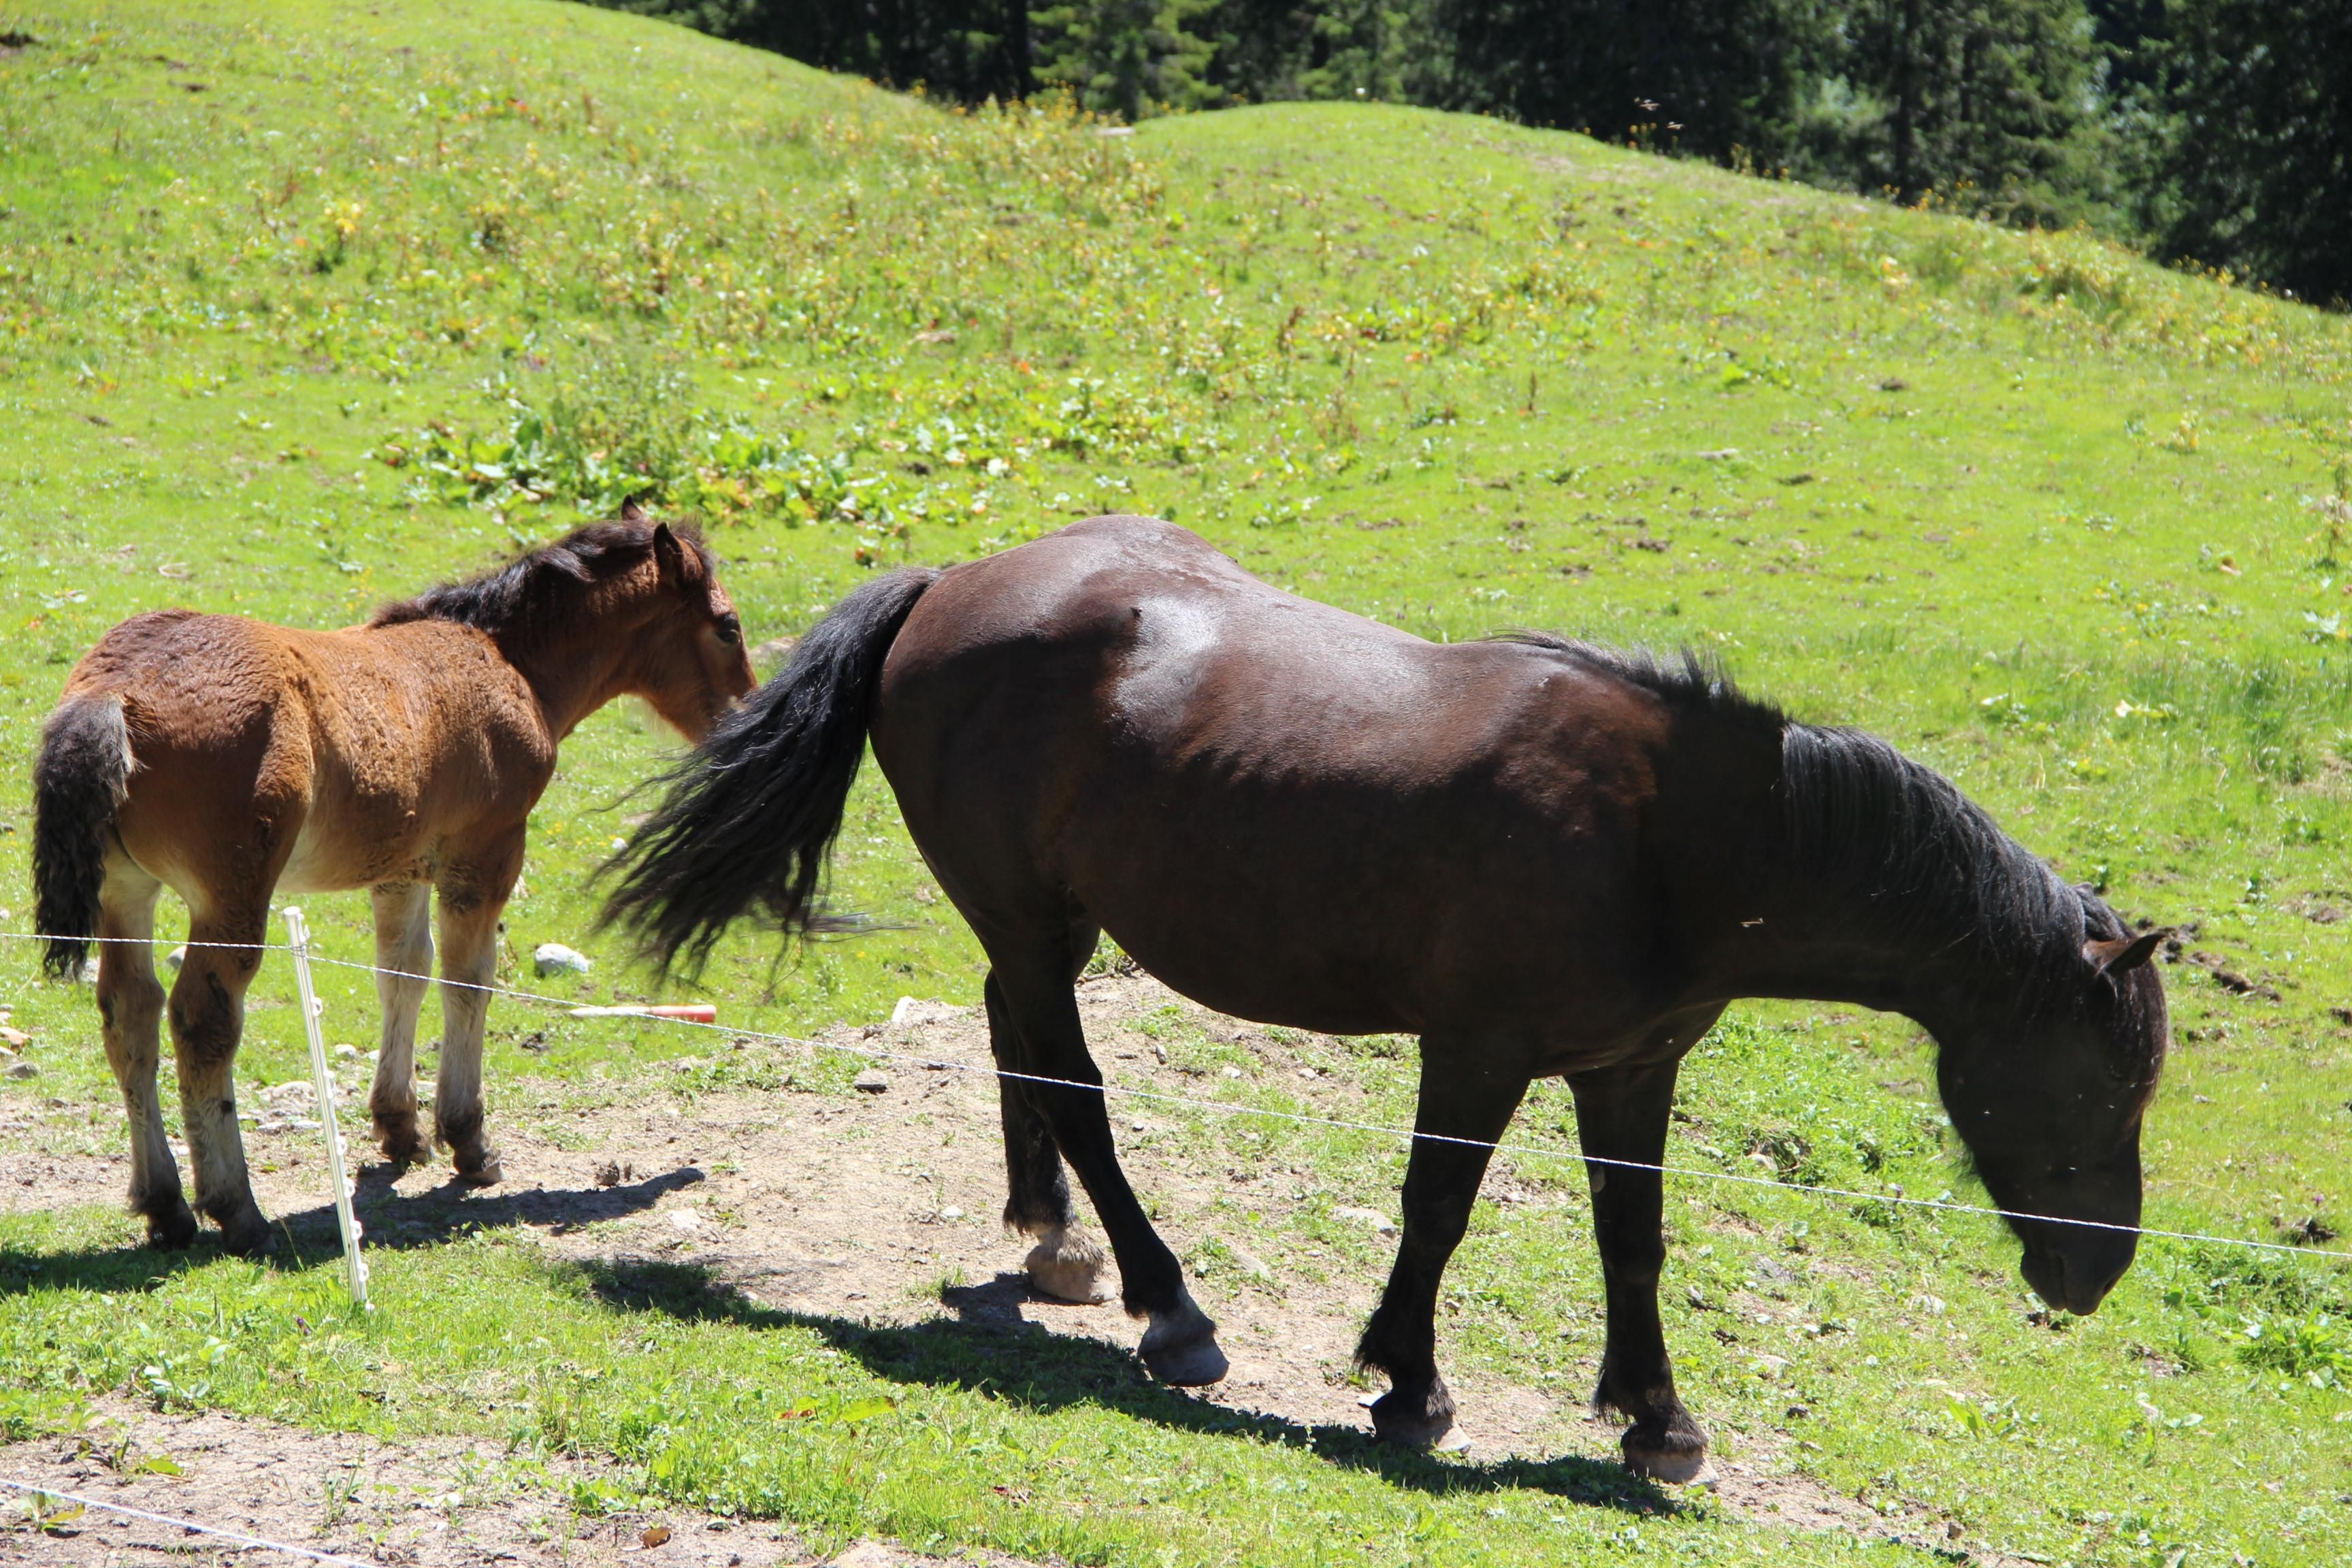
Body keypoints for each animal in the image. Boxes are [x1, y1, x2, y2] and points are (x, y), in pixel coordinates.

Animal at [33, 510, 755, 1257]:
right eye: (727, 627)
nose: (745, 717)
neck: (508, 662)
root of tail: (110, 692)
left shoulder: (402, 868)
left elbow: (403, 973)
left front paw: (399, 1128)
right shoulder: (485, 854)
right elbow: (469, 982)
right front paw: (470, 1141)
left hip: (126, 890)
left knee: (130, 1013)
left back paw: (166, 1205)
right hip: (232, 896)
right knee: (202, 1021)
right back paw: (238, 1210)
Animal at [600, 513, 2167, 1481]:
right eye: (2098, 1079)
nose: (2094, 1274)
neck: (1668, 837)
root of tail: (955, 583)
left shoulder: (1630, 1067)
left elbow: (1635, 1239)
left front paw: (1656, 1420)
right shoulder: (1476, 1050)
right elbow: (1439, 1208)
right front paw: (1409, 1385)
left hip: (1043, 925)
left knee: (1019, 1044)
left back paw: (1051, 1241)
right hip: (1042, 930)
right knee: (1081, 1093)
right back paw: (1169, 1309)